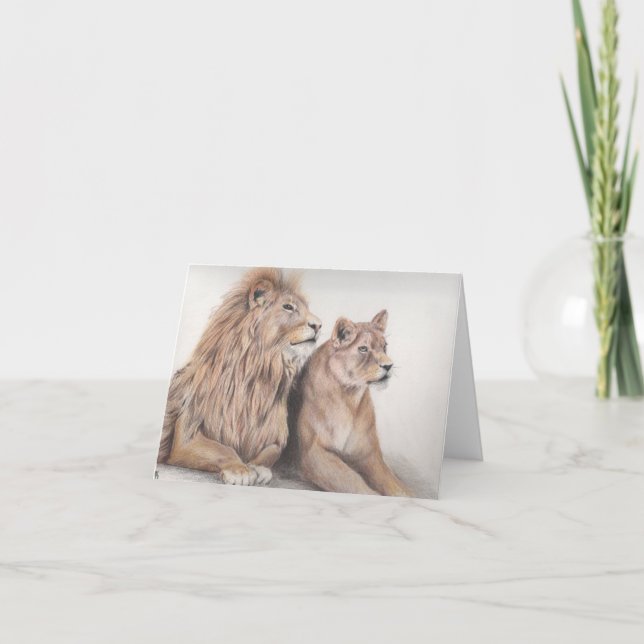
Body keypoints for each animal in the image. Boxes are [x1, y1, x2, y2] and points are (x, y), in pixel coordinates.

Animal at [157, 267, 321, 486]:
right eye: (288, 307)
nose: (319, 325)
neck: (260, 377)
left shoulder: (276, 438)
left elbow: (271, 452)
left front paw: (256, 467)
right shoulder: (186, 435)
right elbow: (222, 448)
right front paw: (240, 471)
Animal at [287, 310, 412, 497]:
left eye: (384, 346)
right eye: (363, 348)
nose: (389, 365)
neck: (349, 397)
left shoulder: (369, 455)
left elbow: (395, 485)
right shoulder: (312, 453)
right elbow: (353, 481)